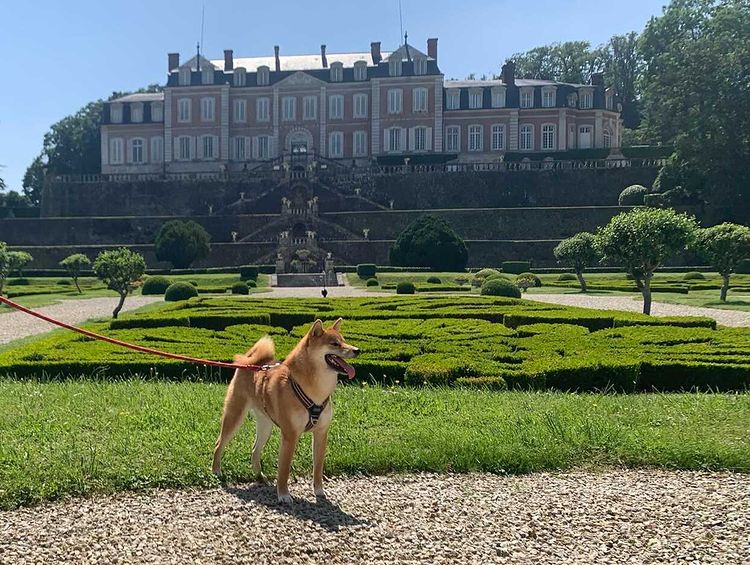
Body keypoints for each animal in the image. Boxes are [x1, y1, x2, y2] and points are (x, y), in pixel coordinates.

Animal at [212, 318, 362, 502]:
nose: (357, 350)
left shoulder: (321, 433)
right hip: (235, 415)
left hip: (265, 425)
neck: (316, 391)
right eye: (335, 344)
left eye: (344, 340)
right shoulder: (290, 435)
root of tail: (251, 362)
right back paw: (216, 471)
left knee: (255, 449)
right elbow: (283, 470)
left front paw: (319, 491)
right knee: (219, 444)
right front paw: (283, 495)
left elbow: (318, 467)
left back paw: (259, 476)